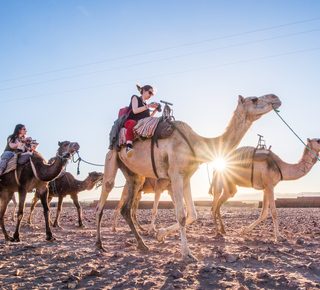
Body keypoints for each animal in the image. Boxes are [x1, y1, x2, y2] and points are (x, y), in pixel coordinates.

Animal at [96, 94, 282, 262]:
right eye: (254, 99)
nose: (276, 98)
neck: (195, 142)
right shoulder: (176, 174)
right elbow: (181, 215)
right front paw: (187, 254)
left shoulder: (187, 177)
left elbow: (193, 214)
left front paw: (160, 234)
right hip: (112, 157)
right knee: (104, 195)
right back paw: (99, 244)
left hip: (134, 175)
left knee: (126, 207)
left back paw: (142, 244)